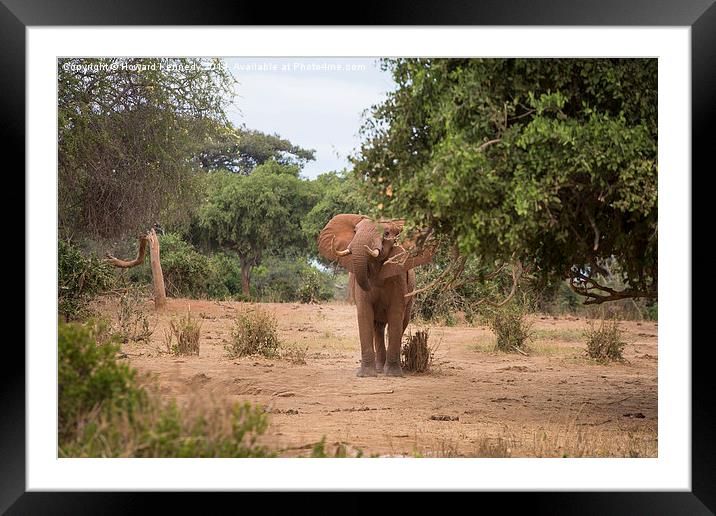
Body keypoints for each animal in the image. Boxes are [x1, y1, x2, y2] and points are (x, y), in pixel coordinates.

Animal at [320, 212, 434, 376]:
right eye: (355, 231)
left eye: (386, 234)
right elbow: (365, 312)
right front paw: (366, 375)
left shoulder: (398, 277)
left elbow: (395, 314)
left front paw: (393, 374)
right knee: (378, 327)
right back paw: (379, 368)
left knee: (401, 323)